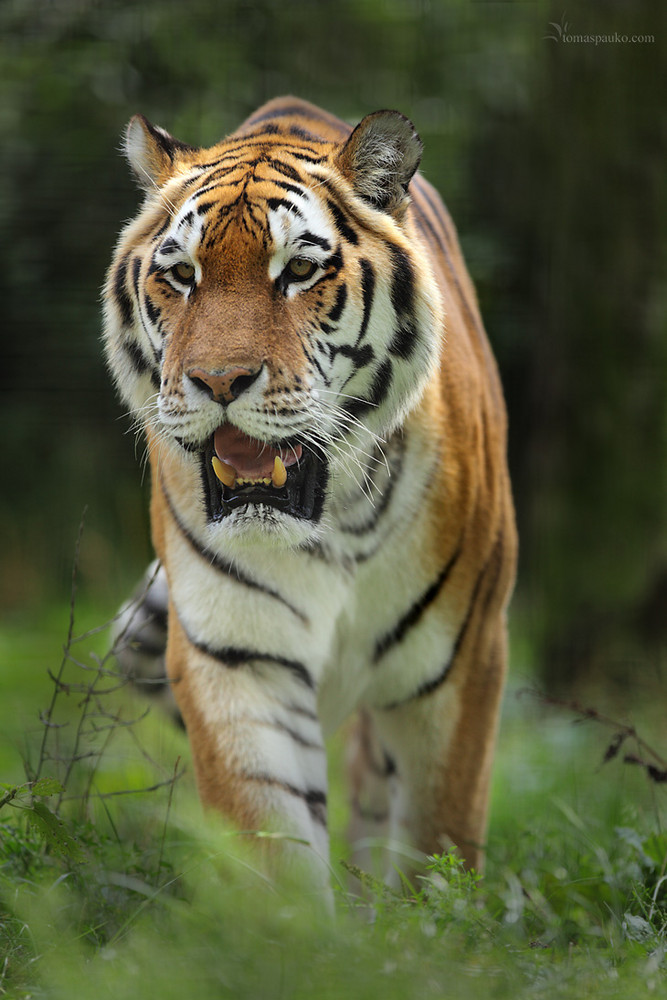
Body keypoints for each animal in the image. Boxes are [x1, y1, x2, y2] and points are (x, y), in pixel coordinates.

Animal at [104, 97, 520, 896]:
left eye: (298, 270)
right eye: (181, 275)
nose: (219, 380)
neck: (335, 520)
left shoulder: (460, 663)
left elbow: (438, 847)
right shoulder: (239, 657)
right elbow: (273, 850)